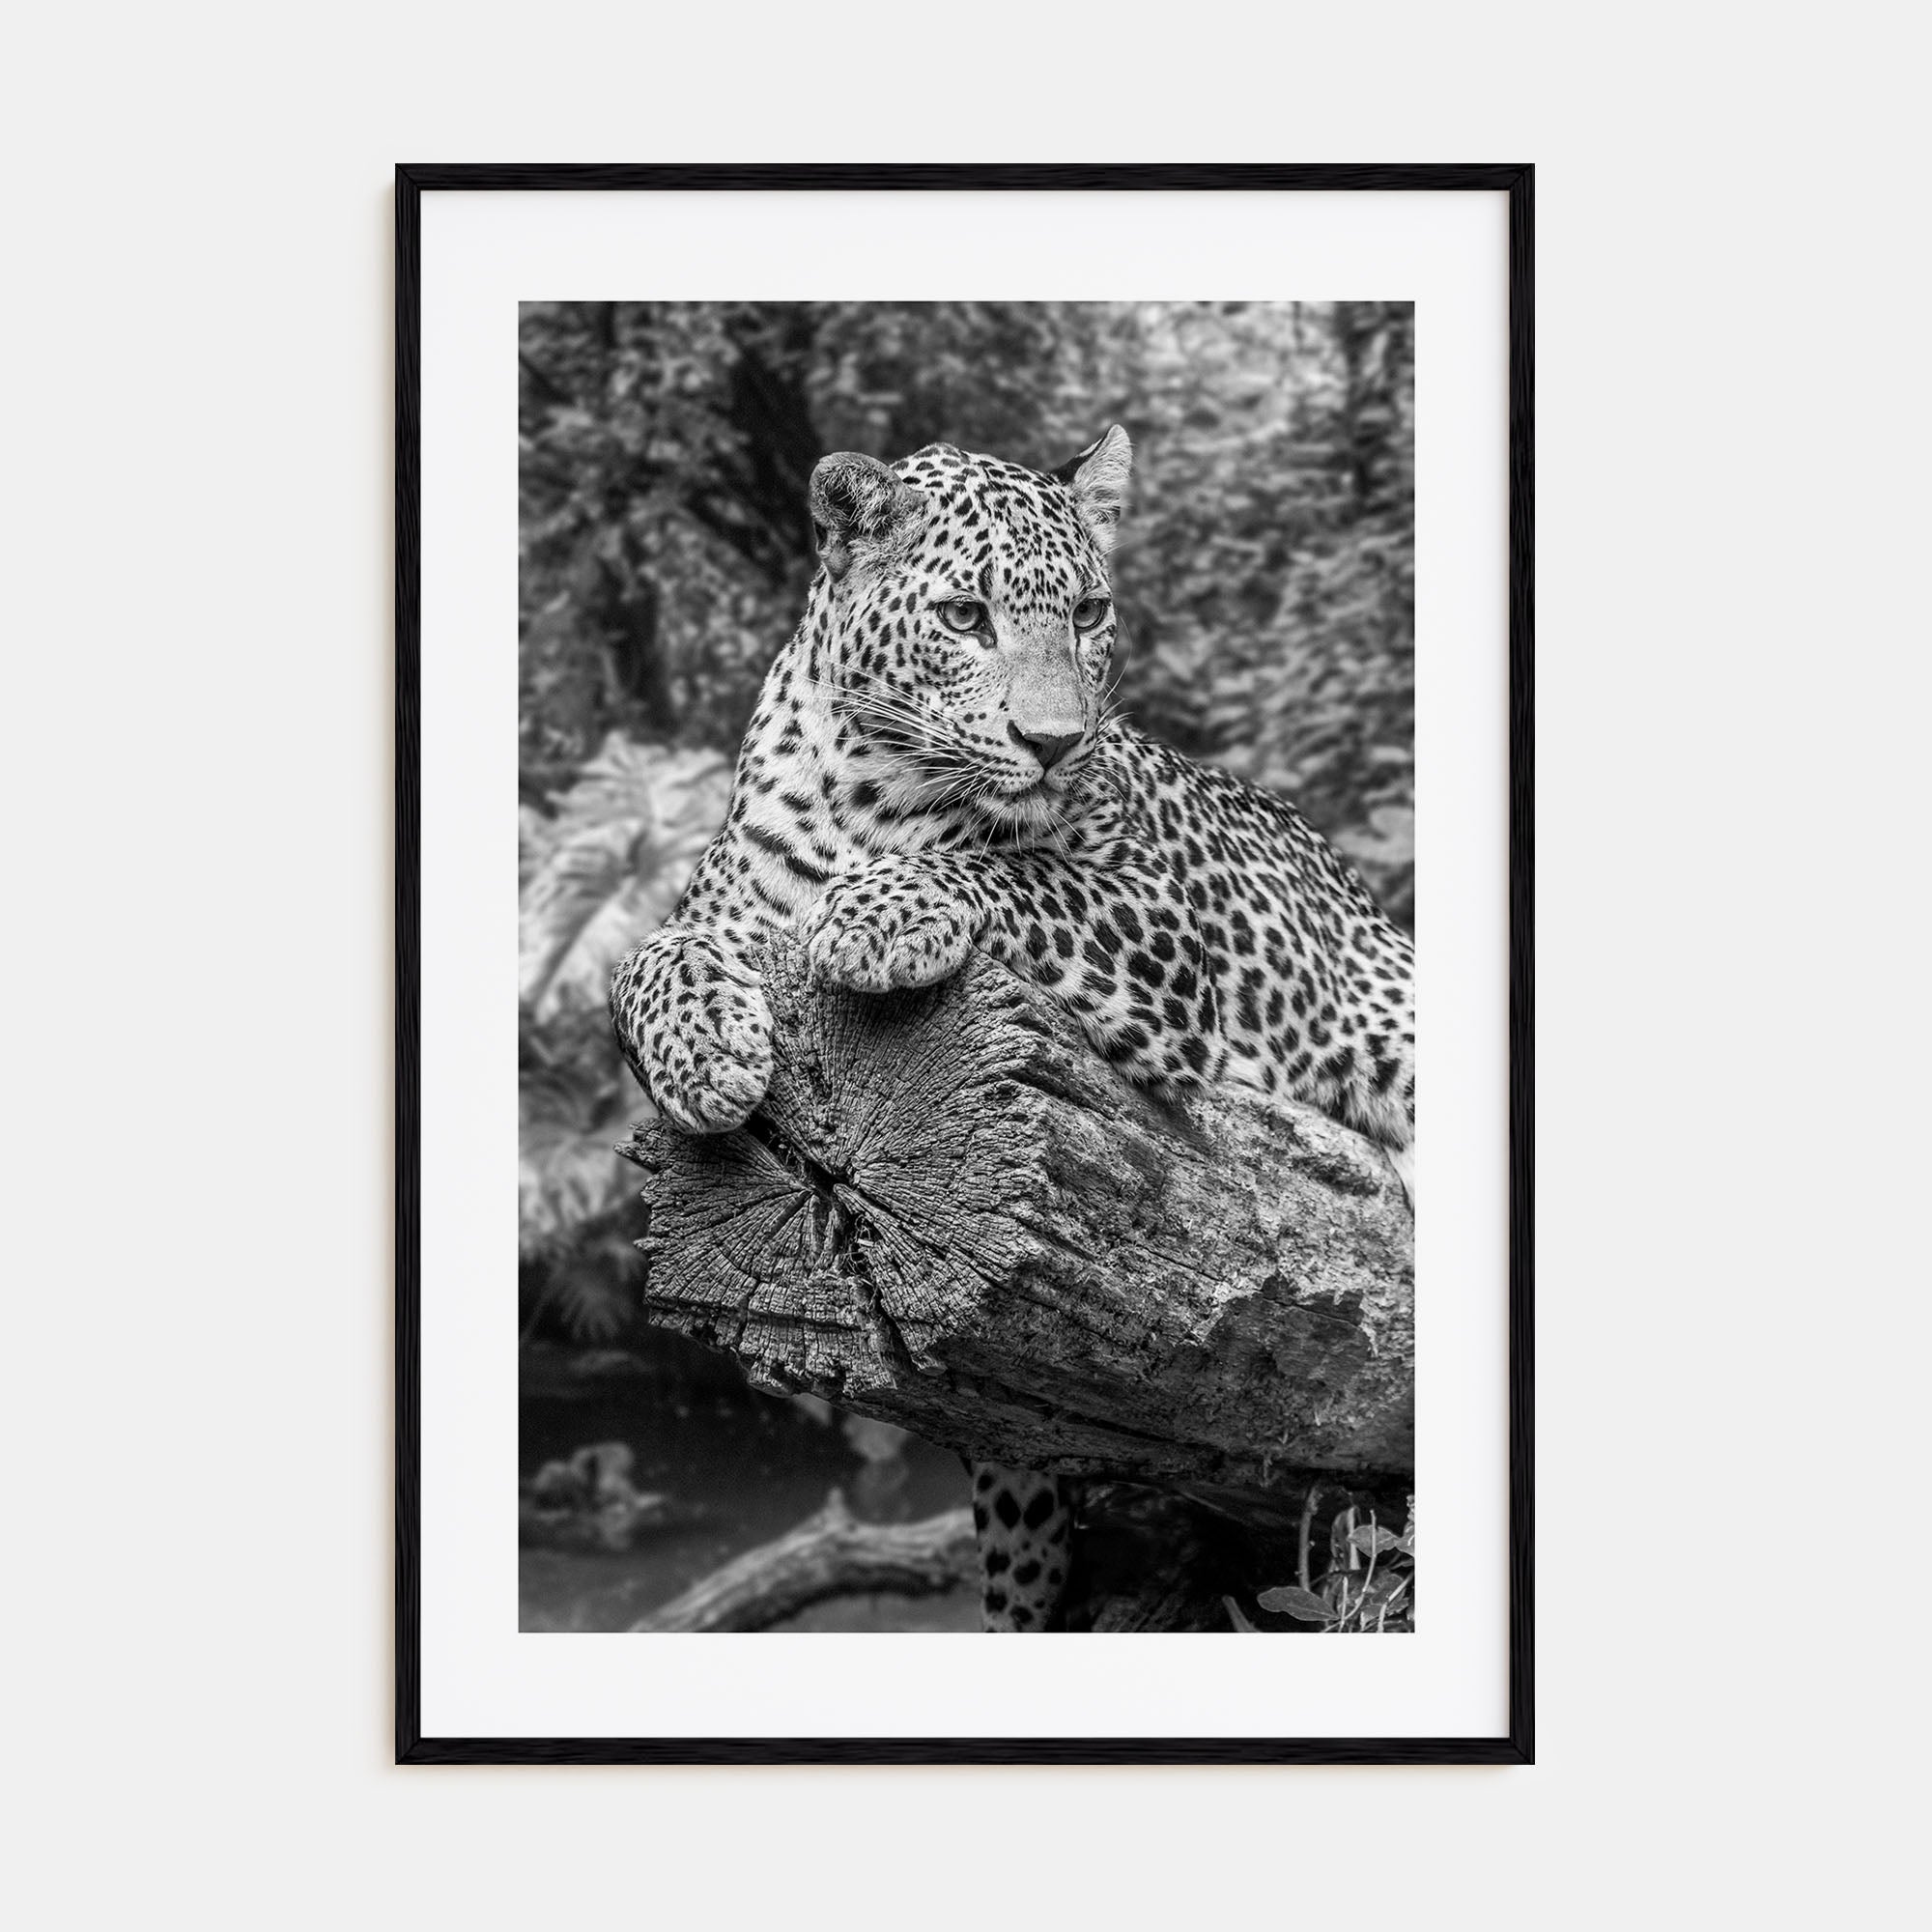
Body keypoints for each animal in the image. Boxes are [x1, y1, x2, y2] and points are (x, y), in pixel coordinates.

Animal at [610, 426, 1415, 1632]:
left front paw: (873, 913)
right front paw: (703, 1051)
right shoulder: (714, 908)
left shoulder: (1150, 913)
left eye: (1086, 611)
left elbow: (1011, 871)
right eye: (962, 617)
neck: (871, 794)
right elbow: (642, 959)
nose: (1053, 741)